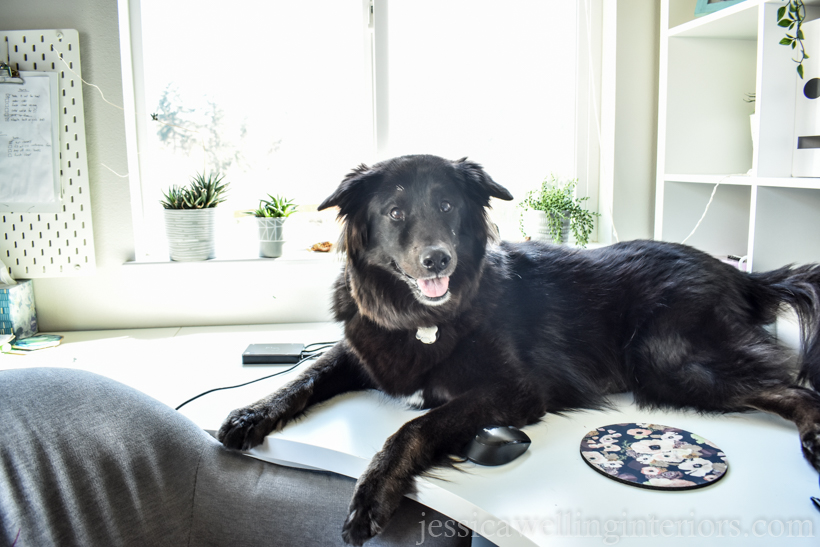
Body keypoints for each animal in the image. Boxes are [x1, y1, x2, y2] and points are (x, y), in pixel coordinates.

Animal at [218, 155, 820, 547]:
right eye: (394, 213)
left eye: (447, 205)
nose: (437, 259)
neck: (422, 321)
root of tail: (742, 275)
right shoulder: (360, 352)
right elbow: (304, 376)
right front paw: (250, 413)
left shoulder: (516, 389)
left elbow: (416, 425)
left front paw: (373, 491)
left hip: (667, 361)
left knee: (796, 387)